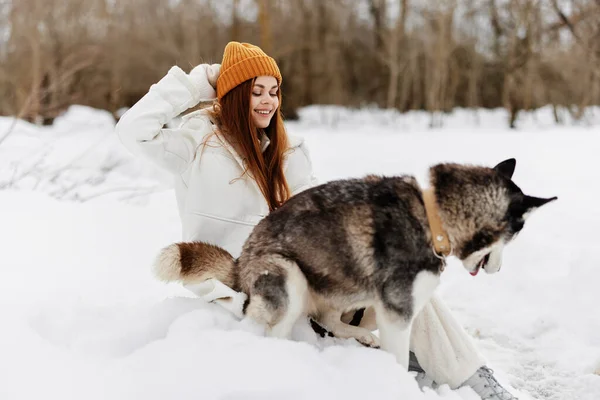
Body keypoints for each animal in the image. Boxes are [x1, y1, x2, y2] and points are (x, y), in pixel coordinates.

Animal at [156, 158, 556, 370]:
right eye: (518, 232)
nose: (498, 270)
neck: (435, 218)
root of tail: (240, 261)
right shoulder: (399, 311)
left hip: (345, 287)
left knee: (331, 320)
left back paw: (361, 336)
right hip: (291, 279)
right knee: (275, 328)